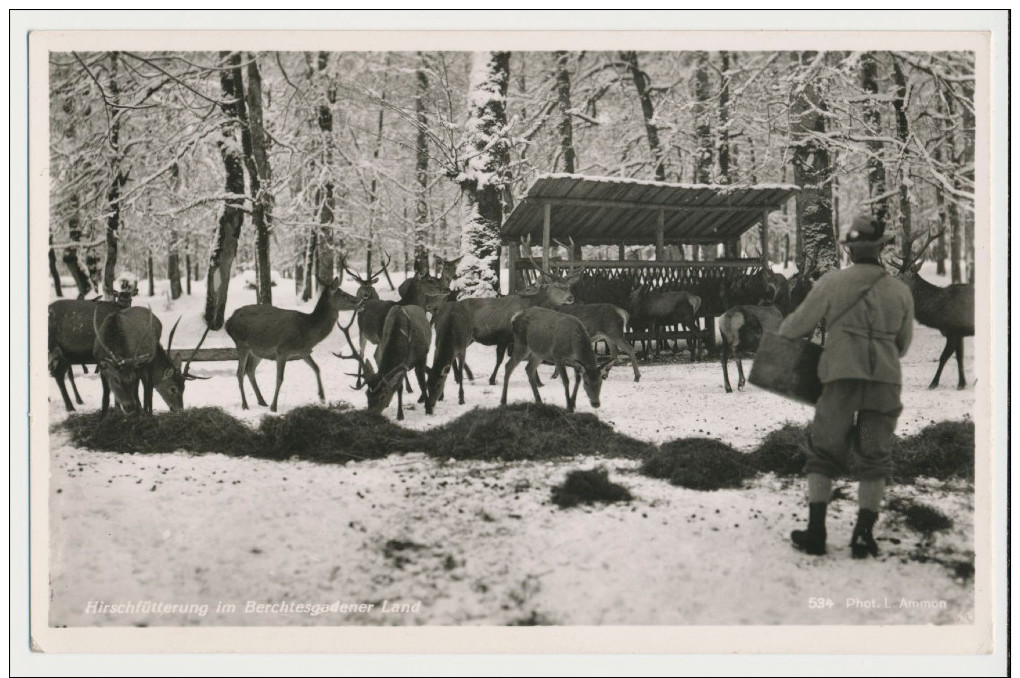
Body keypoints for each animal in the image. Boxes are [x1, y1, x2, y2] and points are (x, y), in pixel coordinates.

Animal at [889, 228, 975, 389]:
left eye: (901, 278)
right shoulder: (958, 333)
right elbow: (958, 357)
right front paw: (962, 382)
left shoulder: (954, 330)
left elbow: (944, 357)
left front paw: (934, 383)